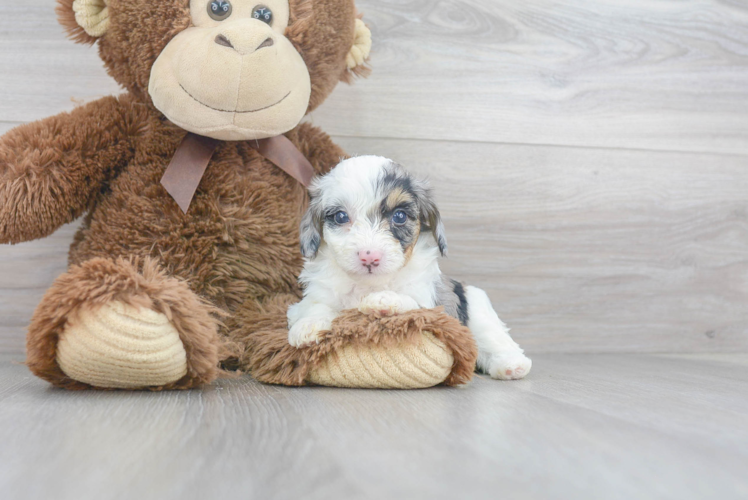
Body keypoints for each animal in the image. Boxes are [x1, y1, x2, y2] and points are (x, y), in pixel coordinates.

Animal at [286, 155, 532, 378]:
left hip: (477, 306)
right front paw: (308, 326)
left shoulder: (430, 305)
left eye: (399, 216)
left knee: (494, 338)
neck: (370, 285)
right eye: (340, 217)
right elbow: (316, 306)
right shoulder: (319, 294)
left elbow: (412, 304)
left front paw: (384, 300)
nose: (369, 257)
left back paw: (511, 365)